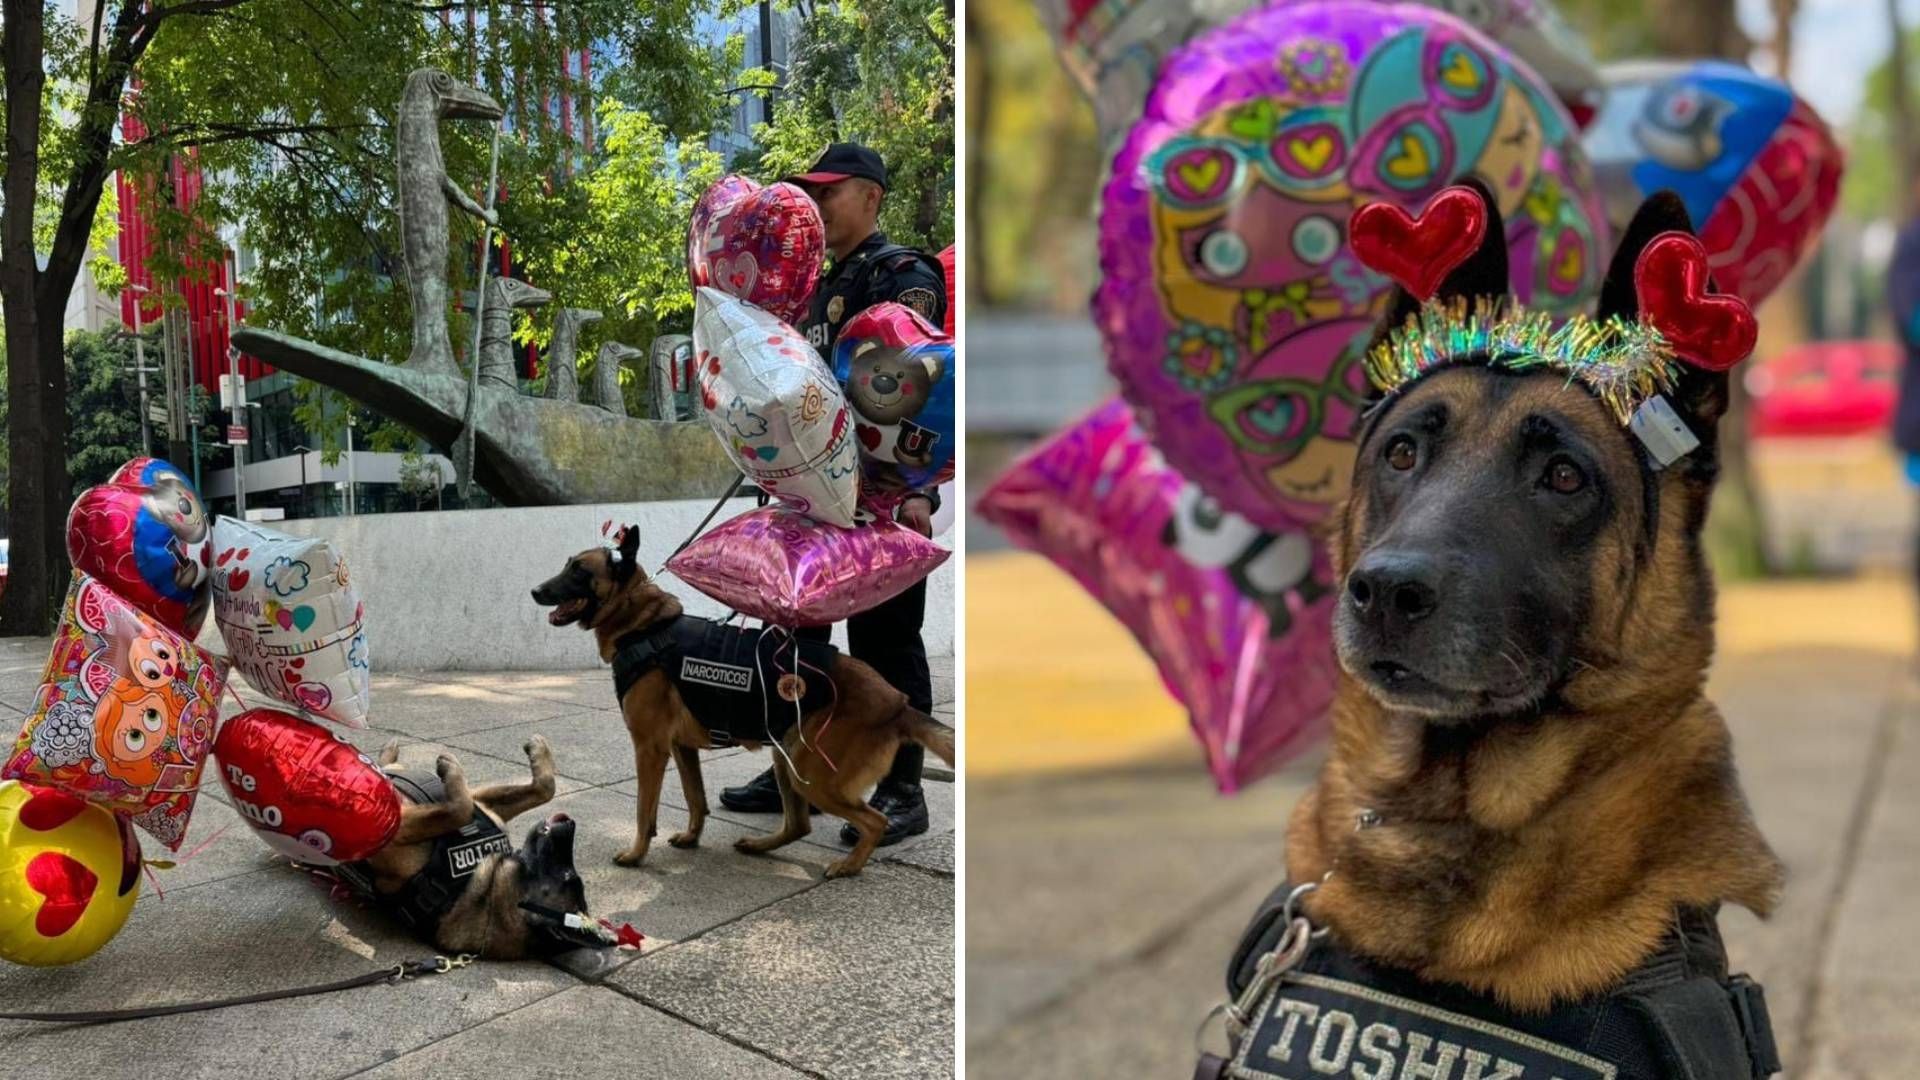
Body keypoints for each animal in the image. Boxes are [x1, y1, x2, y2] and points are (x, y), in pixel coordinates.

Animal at [353, 730, 587, 957]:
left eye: (568, 874)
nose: (571, 824)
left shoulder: (396, 830)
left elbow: (461, 810)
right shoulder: (484, 802)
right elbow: (545, 788)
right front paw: (540, 750)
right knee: (387, 766)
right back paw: (389, 752)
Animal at [529, 526, 956, 880]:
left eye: (579, 571)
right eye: (567, 565)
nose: (535, 591)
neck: (645, 625)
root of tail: (897, 702)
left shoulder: (650, 749)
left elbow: (643, 810)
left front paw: (636, 854)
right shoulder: (682, 748)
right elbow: (696, 799)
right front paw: (691, 837)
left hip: (812, 772)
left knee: (874, 821)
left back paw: (849, 866)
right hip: (788, 759)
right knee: (798, 824)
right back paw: (760, 846)